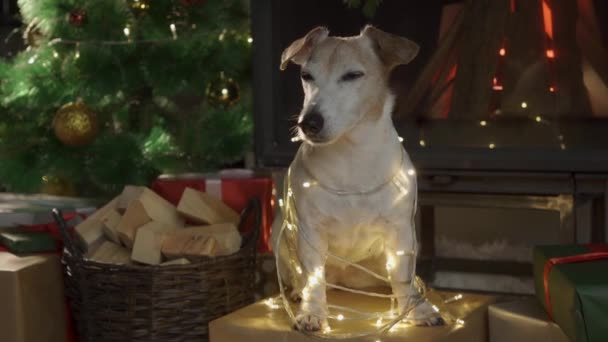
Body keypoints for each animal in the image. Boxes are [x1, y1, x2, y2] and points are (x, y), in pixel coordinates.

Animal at [274, 150, 466, 340]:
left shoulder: (401, 231)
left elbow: (403, 277)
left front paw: (418, 309)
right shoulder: (310, 232)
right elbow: (313, 279)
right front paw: (311, 313)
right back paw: (298, 290)